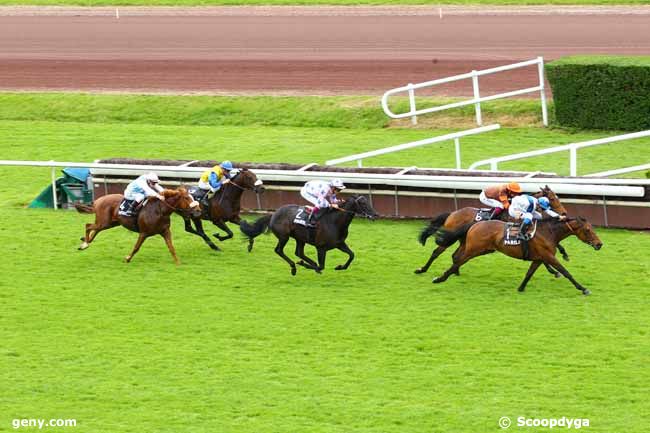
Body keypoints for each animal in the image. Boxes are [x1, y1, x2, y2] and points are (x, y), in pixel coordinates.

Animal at [239, 195, 378, 274]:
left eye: (369, 202)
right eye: (363, 203)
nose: (375, 215)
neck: (335, 222)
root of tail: (273, 214)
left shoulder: (339, 244)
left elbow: (352, 255)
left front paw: (340, 267)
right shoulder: (321, 248)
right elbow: (321, 266)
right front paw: (311, 266)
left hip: (300, 238)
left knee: (299, 252)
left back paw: (303, 264)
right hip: (284, 236)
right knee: (279, 250)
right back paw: (294, 267)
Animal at [416, 184, 568, 276]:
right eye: (553, 198)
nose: (564, 213)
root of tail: (452, 214)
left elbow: (556, 245)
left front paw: (563, 255)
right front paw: (554, 270)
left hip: (463, 240)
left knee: (455, 255)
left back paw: (456, 271)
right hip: (451, 238)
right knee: (436, 252)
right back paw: (422, 269)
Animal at [430, 218, 604, 296]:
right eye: (588, 230)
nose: (599, 244)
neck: (549, 233)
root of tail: (475, 224)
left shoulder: (539, 258)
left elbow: (529, 273)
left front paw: (521, 288)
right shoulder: (548, 257)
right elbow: (566, 272)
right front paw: (583, 288)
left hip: (481, 249)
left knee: (456, 259)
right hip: (474, 250)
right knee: (457, 261)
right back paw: (439, 278)